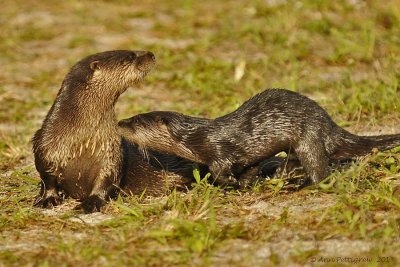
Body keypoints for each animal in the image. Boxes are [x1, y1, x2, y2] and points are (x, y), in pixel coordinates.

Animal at [117, 89, 400, 187]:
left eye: (136, 121)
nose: (120, 122)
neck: (197, 137)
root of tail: (331, 126)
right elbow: (249, 168)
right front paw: (245, 183)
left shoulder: (218, 150)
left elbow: (220, 170)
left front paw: (229, 182)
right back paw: (281, 176)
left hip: (309, 137)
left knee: (320, 171)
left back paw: (300, 185)